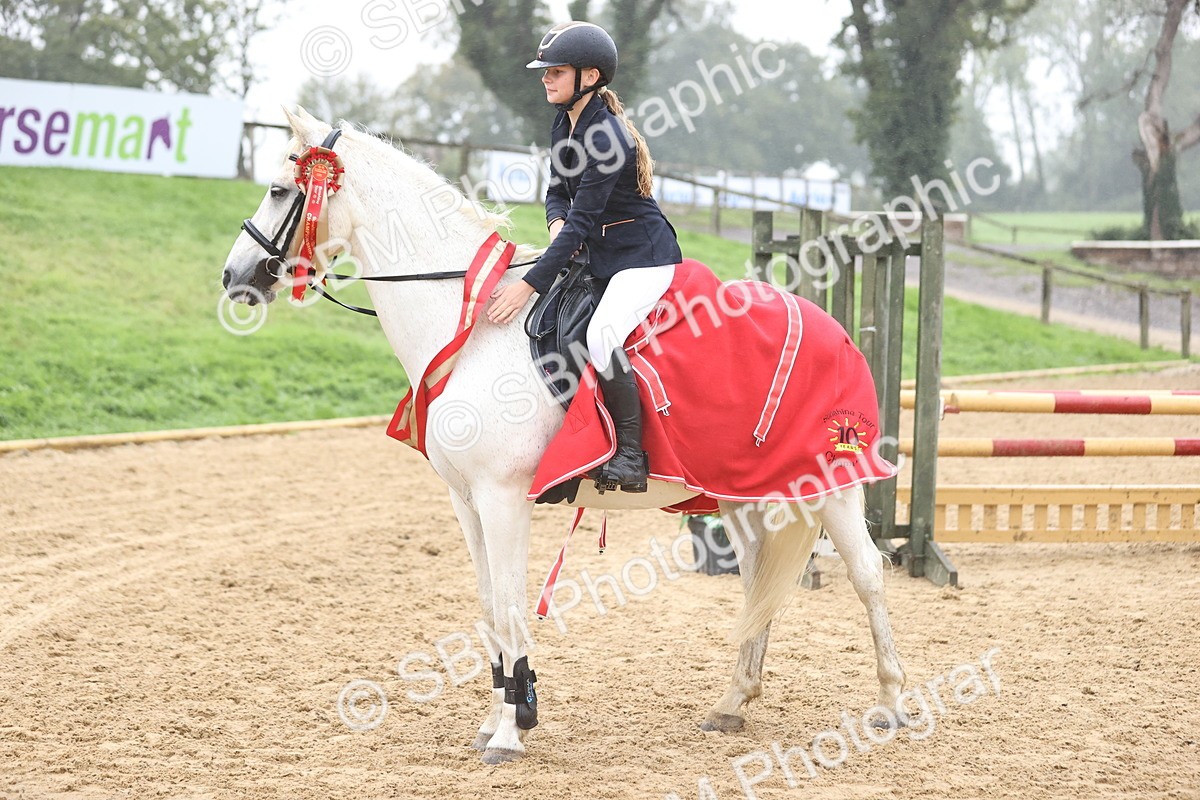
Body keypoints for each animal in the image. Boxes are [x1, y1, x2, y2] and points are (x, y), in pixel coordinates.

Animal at [220, 107, 906, 764]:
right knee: (756, 578)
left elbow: (511, 605)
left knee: (869, 574)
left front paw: (510, 731)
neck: (474, 324)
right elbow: (489, 606)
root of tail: (836, 329)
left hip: (831, 483)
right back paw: (734, 703)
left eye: (279, 189)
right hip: (742, 493)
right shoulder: (465, 501)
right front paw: (499, 716)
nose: (235, 276)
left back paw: (891, 704)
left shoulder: (503, 497)